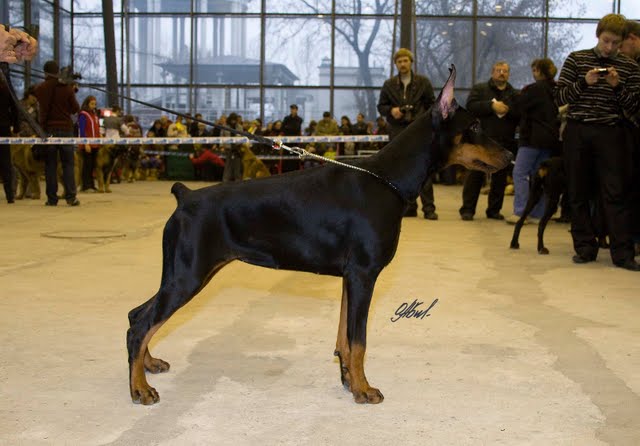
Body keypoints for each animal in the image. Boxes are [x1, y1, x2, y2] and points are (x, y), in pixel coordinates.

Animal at [126, 66, 513, 406]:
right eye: (475, 125)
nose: (510, 154)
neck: (387, 179)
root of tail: (185, 195)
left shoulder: (350, 277)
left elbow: (344, 336)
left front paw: (348, 380)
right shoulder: (364, 274)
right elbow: (359, 340)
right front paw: (364, 389)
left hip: (183, 273)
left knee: (137, 316)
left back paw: (148, 365)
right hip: (188, 274)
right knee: (140, 323)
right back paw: (140, 388)